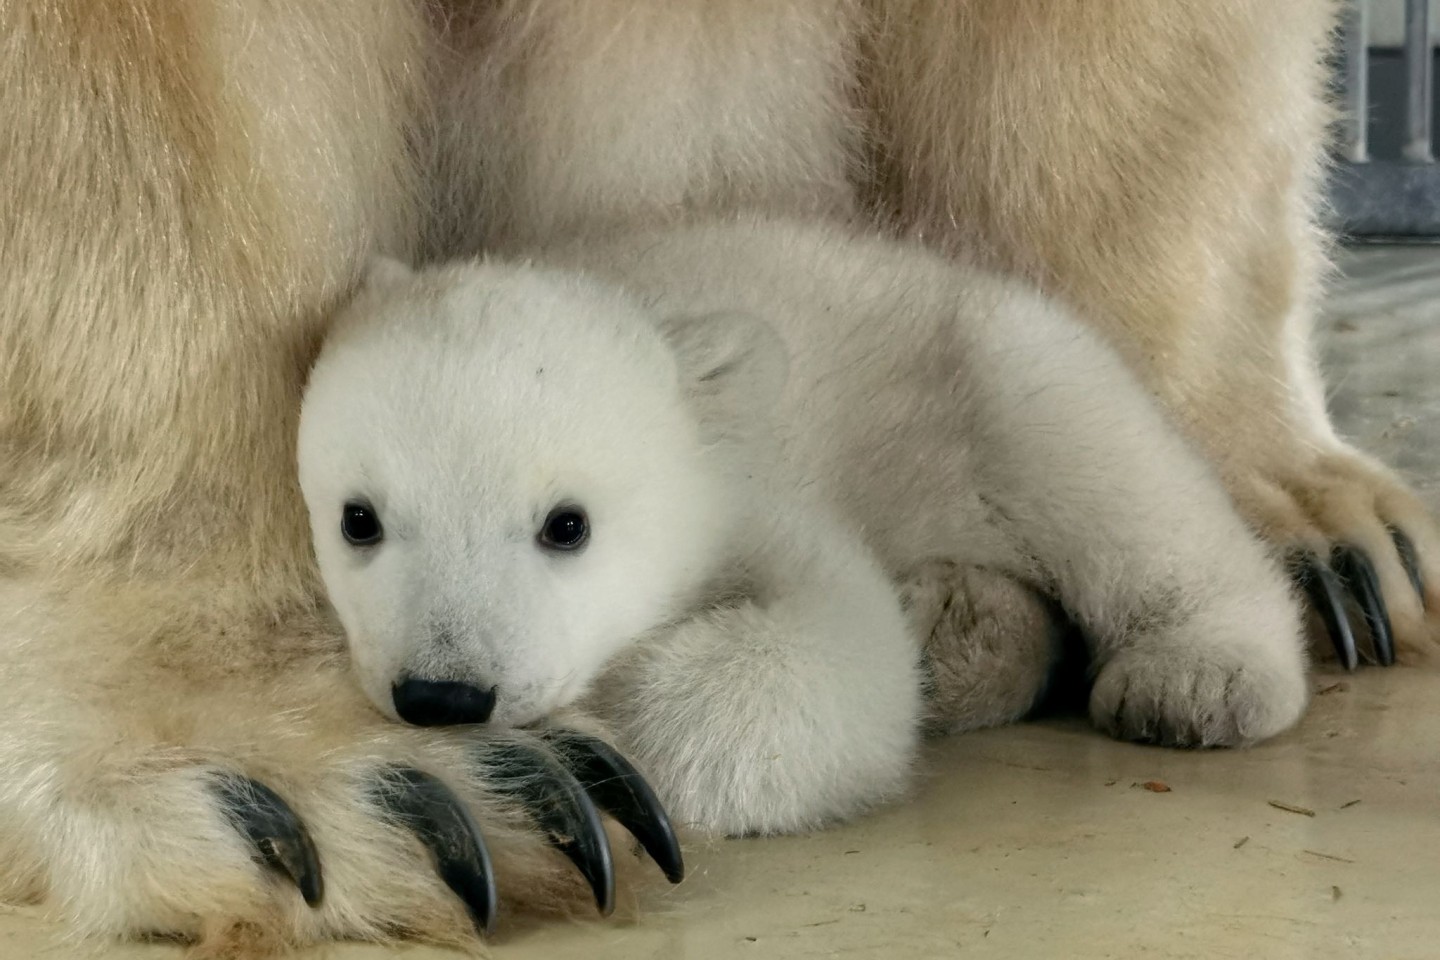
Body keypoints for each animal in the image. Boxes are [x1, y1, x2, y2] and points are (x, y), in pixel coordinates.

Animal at [2, 0, 1428, 955]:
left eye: (566, 526)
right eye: (357, 520)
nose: (446, 696)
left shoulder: (759, 482)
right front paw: (350, 788)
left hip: (983, 365)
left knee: (1099, 456)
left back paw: (1214, 649)